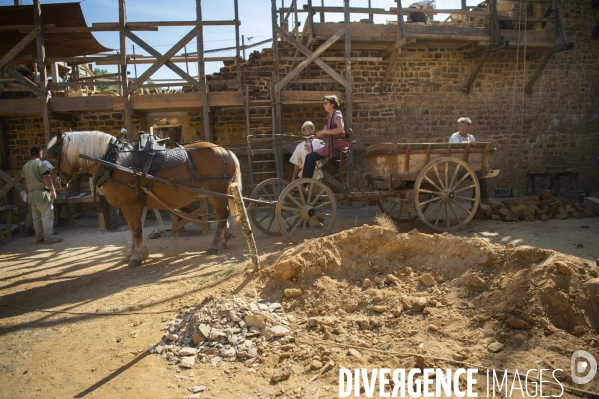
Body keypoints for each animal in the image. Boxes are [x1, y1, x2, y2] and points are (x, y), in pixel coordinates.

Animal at [47, 131, 243, 268]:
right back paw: (224, 240)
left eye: (52, 155)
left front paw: (138, 256)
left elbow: (135, 229)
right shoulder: (127, 205)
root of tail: (224, 150)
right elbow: (132, 230)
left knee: (222, 216)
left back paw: (215, 244)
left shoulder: (129, 204)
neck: (112, 160)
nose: (56, 182)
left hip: (216, 190)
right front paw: (132, 253)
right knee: (223, 216)